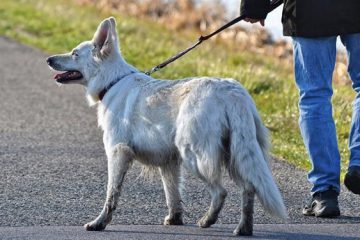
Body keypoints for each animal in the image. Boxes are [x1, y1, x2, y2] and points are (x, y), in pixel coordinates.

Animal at [46, 17, 286, 236]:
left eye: (75, 53)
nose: (48, 59)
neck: (112, 81)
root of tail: (232, 92)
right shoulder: (168, 162)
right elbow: (173, 194)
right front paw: (175, 219)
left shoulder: (118, 153)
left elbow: (111, 194)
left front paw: (99, 223)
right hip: (235, 154)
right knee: (248, 188)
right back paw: (243, 228)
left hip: (195, 156)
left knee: (221, 192)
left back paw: (207, 220)